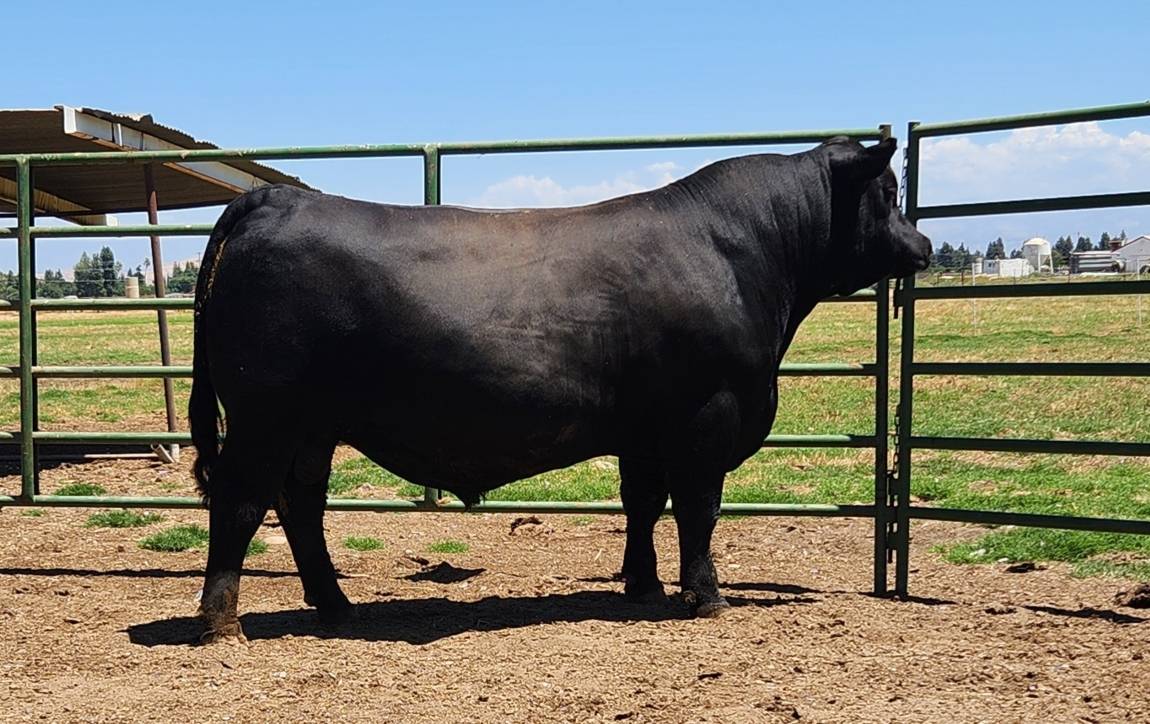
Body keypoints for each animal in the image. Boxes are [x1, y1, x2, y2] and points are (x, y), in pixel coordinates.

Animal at [189, 136, 931, 643]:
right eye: (888, 194)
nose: (922, 245)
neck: (740, 254)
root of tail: (272, 198)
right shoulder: (707, 416)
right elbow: (698, 509)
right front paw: (706, 597)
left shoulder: (645, 428)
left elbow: (642, 502)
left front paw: (642, 585)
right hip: (265, 416)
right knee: (242, 499)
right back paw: (222, 622)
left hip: (311, 428)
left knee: (300, 504)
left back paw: (335, 604)